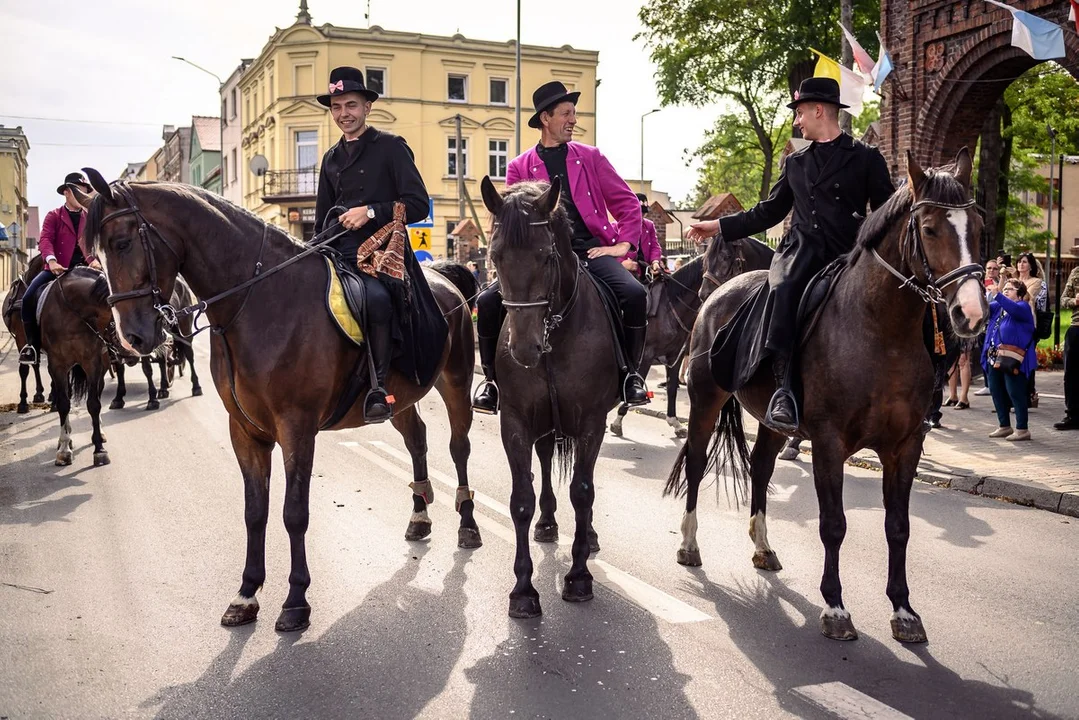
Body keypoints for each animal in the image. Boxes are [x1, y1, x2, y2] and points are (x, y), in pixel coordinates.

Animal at [76, 171, 481, 634]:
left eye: (122, 242)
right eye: (95, 254)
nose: (133, 338)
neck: (259, 301)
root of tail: (444, 277)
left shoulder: (297, 427)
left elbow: (294, 512)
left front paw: (296, 600)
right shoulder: (245, 429)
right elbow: (255, 512)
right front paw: (246, 594)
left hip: (455, 382)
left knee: (459, 446)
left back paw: (467, 523)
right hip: (401, 398)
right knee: (417, 439)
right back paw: (419, 516)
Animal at [481, 175, 625, 621]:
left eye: (546, 257)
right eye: (495, 255)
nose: (523, 349)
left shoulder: (592, 421)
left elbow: (582, 491)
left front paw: (579, 578)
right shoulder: (514, 421)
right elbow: (521, 500)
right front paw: (523, 590)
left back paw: (588, 536)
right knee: (544, 461)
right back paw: (547, 523)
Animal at [664, 148, 988, 643]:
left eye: (979, 228)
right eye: (930, 228)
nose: (971, 314)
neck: (882, 332)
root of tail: (718, 298)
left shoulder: (906, 446)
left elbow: (899, 527)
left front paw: (904, 611)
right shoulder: (830, 442)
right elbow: (834, 524)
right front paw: (835, 607)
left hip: (770, 420)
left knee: (760, 466)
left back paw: (763, 547)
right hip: (705, 399)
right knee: (698, 463)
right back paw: (688, 543)